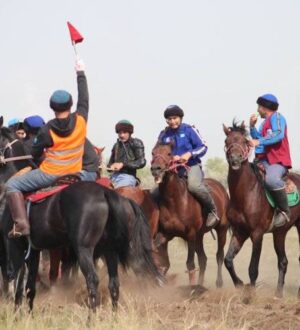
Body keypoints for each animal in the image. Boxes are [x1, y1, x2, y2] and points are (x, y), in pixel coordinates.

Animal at [0, 121, 163, 310]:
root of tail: (107, 193)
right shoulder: (35, 249)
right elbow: (29, 286)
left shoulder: (17, 246)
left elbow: (19, 281)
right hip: (113, 249)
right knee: (117, 281)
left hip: (85, 249)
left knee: (94, 280)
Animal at [149, 142, 229, 286]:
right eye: (153, 152)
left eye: (169, 153)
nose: (156, 169)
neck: (175, 200)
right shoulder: (165, 234)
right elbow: (162, 260)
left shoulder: (190, 234)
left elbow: (190, 264)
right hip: (200, 236)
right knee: (203, 259)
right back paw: (200, 285)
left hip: (222, 229)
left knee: (219, 255)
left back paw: (218, 282)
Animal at [224, 120, 300, 296]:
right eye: (227, 141)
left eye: (245, 141)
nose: (235, 159)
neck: (246, 193)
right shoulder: (239, 231)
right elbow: (228, 260)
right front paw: (239, 284)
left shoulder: (257, 234)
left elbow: (253, 269)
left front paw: (251, 295)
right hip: (280, 232)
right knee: (283, 261)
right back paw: (278, 294)